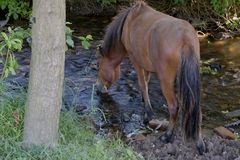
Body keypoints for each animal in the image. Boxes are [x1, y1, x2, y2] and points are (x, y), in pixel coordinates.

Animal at [96, 0, 205, 154]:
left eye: (98, 65)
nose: (98, 88)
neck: (129, 21)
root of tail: (186, 39)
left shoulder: (136, 61)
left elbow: (142, 84)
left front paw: (148, 113)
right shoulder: (146, 66)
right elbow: (146, 83)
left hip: (166, 80)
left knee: (174, 107)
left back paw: (168, 136)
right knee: (196, 109)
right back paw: (199, 143)